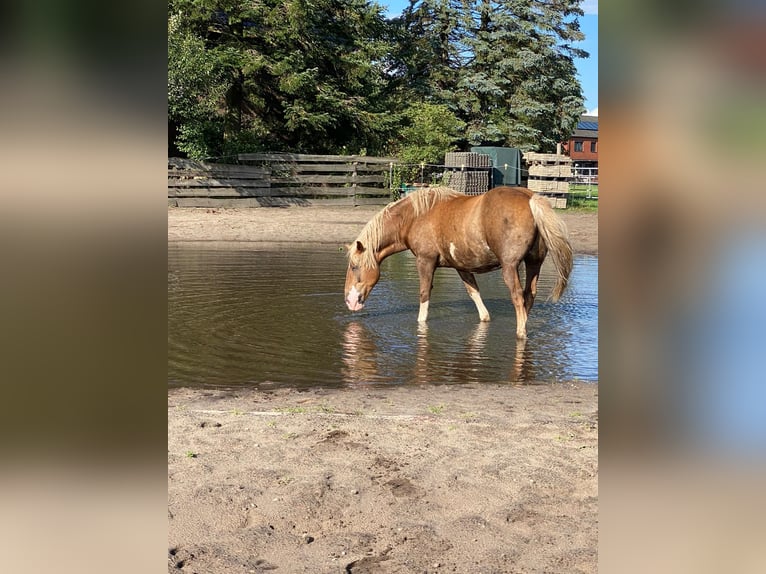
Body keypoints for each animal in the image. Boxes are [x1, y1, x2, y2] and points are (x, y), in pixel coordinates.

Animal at [344, 186, 572, 338]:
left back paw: (521, 332)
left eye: (355, 267)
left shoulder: (425, 261)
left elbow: (424, 295)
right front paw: (485, 318)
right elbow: (474, 293)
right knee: (528, 296)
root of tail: (530, 198)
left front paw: (420, 324)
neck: (416, 216)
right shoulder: (462, 267)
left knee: (517, 296)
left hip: (510, 267)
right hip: (533, 264)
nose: (350, 301)